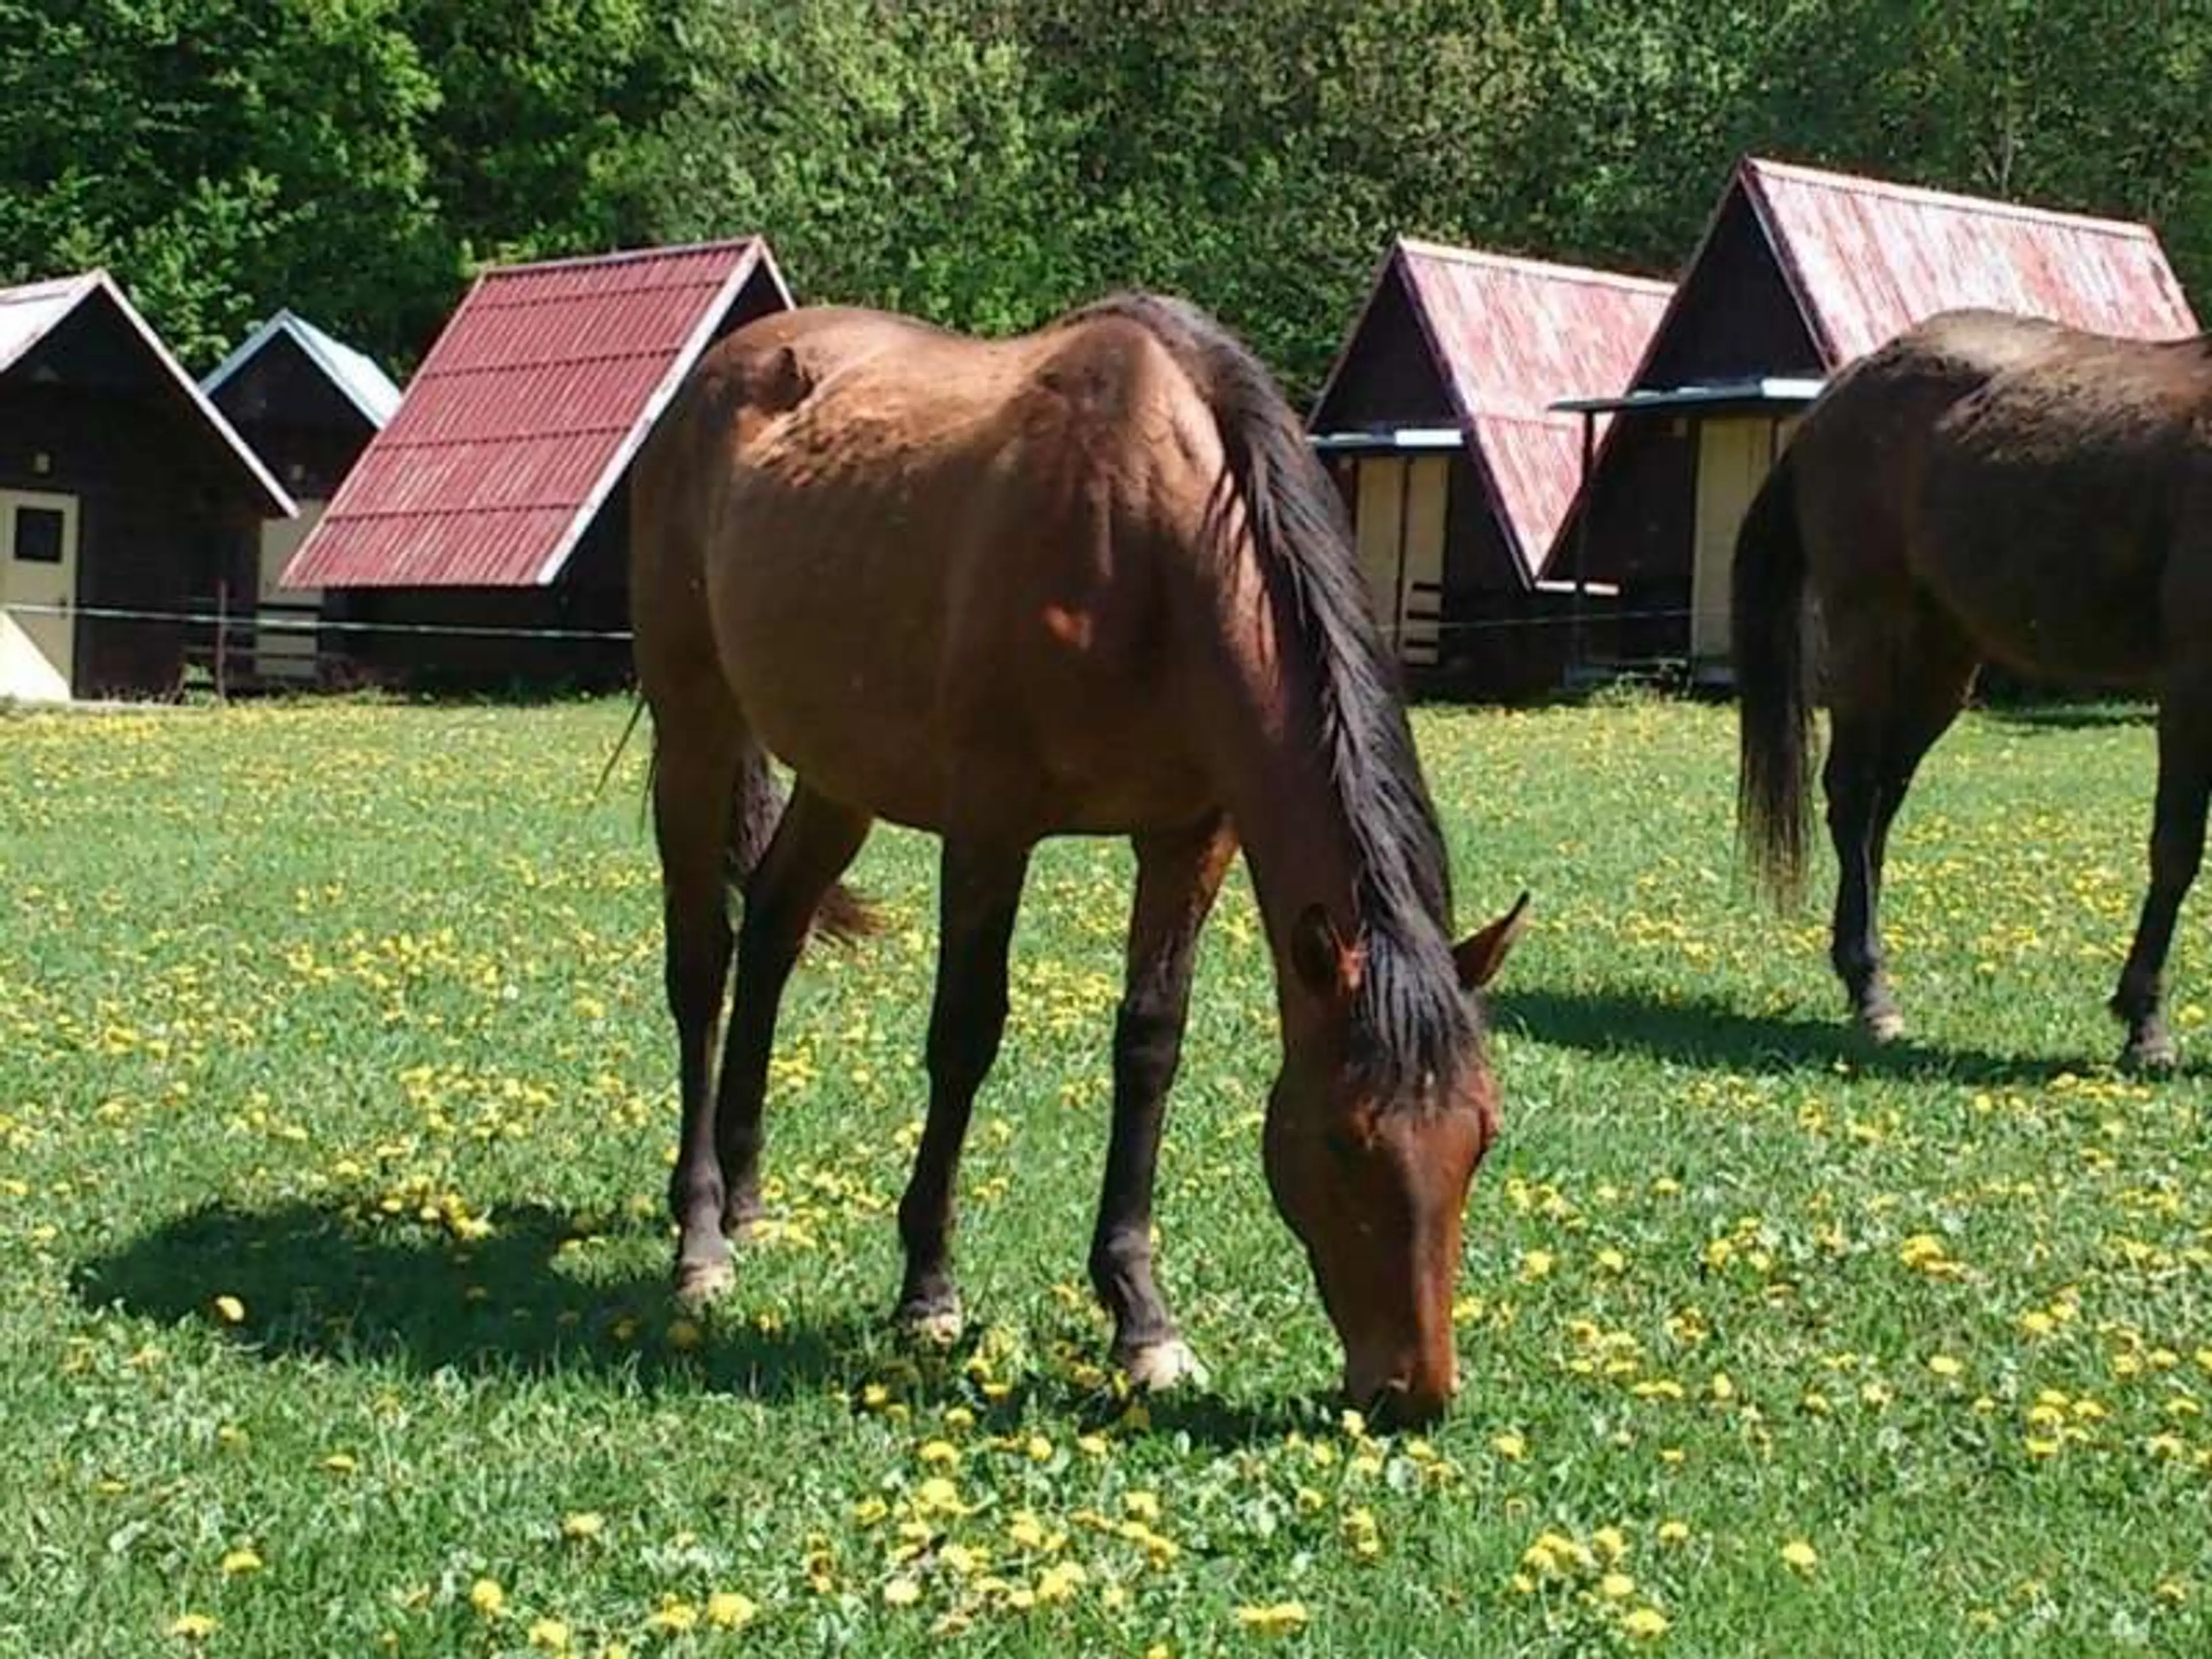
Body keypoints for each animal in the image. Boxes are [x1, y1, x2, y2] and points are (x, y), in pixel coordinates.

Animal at [623, 291, 1521, 1424]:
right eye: (1343, 1140)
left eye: (1481, 1134)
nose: (1415, 1392)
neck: (1153, 549)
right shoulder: (991, 823)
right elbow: (964, 1035)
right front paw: (928, 1292)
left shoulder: (1189, 838)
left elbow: (1150, 1048)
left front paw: (1142, 1318)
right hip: (696, 732)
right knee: (702, 964)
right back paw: (701, 1237)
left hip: (840, 771)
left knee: (777, 928)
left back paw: (745, 1196)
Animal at [1734, 305, 2203, 1070]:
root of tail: (1837, 395)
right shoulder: (2192, 689)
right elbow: (2177, 848)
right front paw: (2146, 1025)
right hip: (1871, 630)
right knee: (1853, 795)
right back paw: (1872, 992)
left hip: (1939, 664)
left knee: (1880, 805)